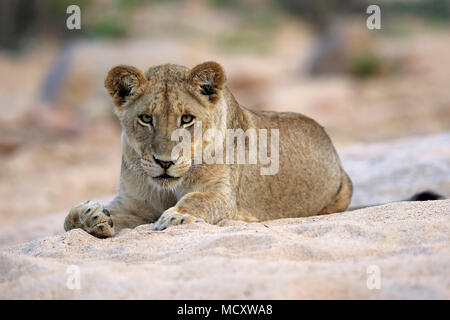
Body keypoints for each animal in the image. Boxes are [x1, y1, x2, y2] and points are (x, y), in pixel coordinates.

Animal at [64, 62, 352, 238]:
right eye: (146, 118)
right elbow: (68, 223)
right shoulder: (134, 205)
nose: (165, 162)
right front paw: (90, 216)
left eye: (186, 119)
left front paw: (176, 218)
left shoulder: (222, 194)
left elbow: (196, 199)